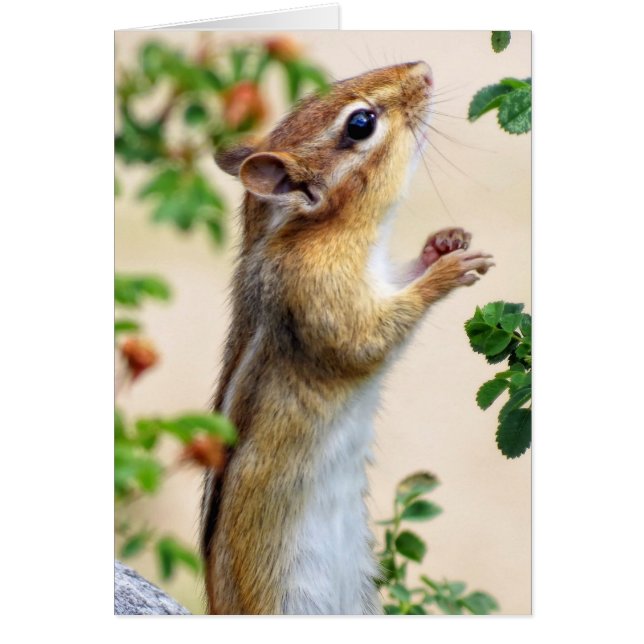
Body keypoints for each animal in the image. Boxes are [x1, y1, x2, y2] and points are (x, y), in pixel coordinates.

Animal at [200, 61, 494, 615]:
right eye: (361, 124)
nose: (424, 70)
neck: (305, 230)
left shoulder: (377, 278)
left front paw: (443, 244)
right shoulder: (321, 293)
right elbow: (366, 338)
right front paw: (447, 271)